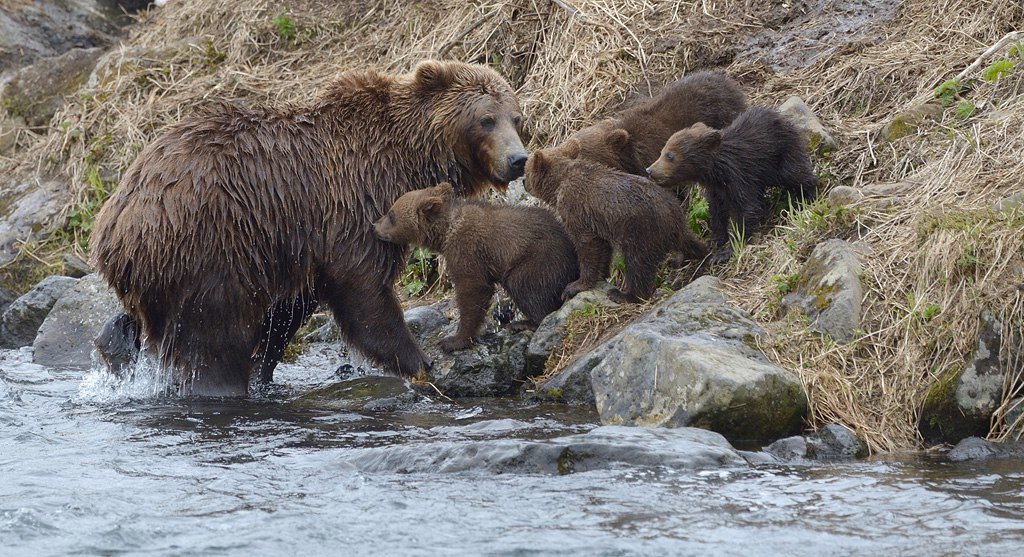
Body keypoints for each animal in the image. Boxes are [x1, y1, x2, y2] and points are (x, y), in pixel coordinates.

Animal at [89, 60, 529, 397]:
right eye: (486, 119)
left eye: (516, 117)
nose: (518, 159)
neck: (408, 155)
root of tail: (116, 217)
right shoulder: (352, 202)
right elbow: (363, 287)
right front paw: (417, 358)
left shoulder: (298, 244)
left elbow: (287, 312)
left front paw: (265, 370)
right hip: (206, 244)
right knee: (215, 336)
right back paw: (218, 387)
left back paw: (116, 345)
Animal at [373, 182, 579, 351]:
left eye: (391, 213)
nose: (374, 225)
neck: (445, 232)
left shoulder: (467, 250)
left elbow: (472, 288)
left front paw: (453, 340)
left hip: (539, 259)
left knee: (525, 285)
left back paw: (523, 323)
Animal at [524, 144, 709, 304]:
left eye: (526, 169)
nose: (524, 182)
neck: (559, 184)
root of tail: (672, 210)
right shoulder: (597, 220)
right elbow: (602, 246)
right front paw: (602, 274)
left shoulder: (575, 208)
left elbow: (586, 244)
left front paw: (574, 286)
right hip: (677, 225)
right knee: (689, 242)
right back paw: (699, 254)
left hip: (642, 230)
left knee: (637, 263)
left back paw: (624, 295)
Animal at [646, 106, 820, 264]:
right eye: (662, 151)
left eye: (670, 155)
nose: (649, 170)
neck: (716, 171)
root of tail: (784, 119)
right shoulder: (716, 189)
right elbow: (716, 211)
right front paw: (715, 239)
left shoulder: (739, 176)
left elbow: (746, 210)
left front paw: (724, 252)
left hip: (781, 155)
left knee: (795, 173)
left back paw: (806, 197)